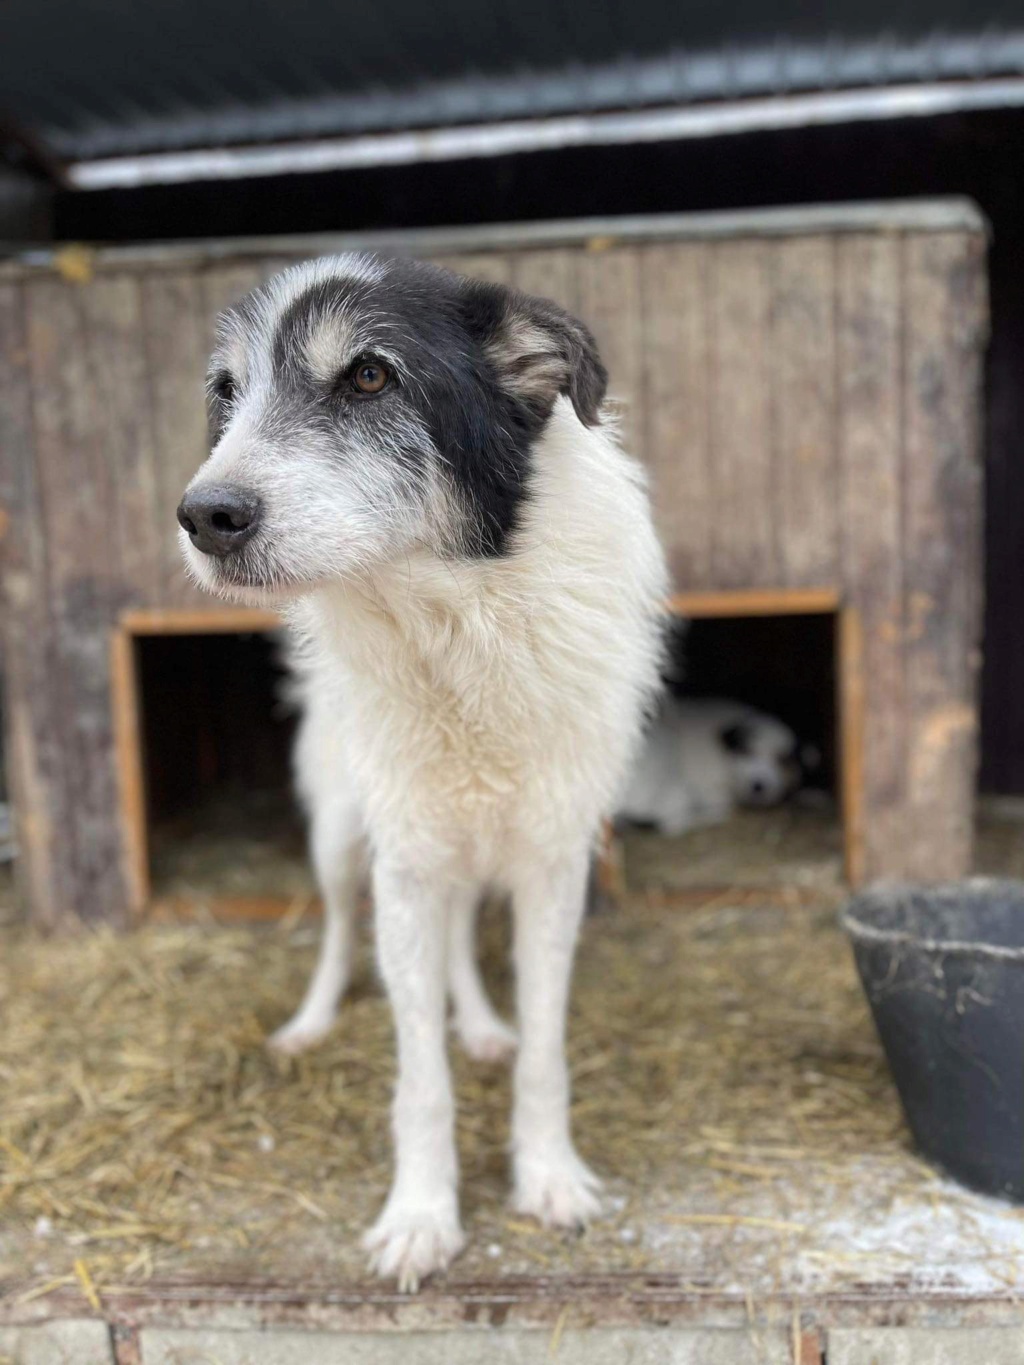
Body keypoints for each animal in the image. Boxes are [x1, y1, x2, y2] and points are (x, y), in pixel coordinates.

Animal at [178, 256, 666, 1288]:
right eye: (228, 392)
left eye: (369, 376)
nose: (204, 517)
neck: (454, 618)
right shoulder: (403, 863)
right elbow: (419, 1075)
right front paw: (421, 1216)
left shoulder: (552, 863)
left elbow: (544, 1050)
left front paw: (548, 1175)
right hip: (340, 835)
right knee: (335, 929)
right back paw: (311, 1021)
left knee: (459, 948)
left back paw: (479, 1023)